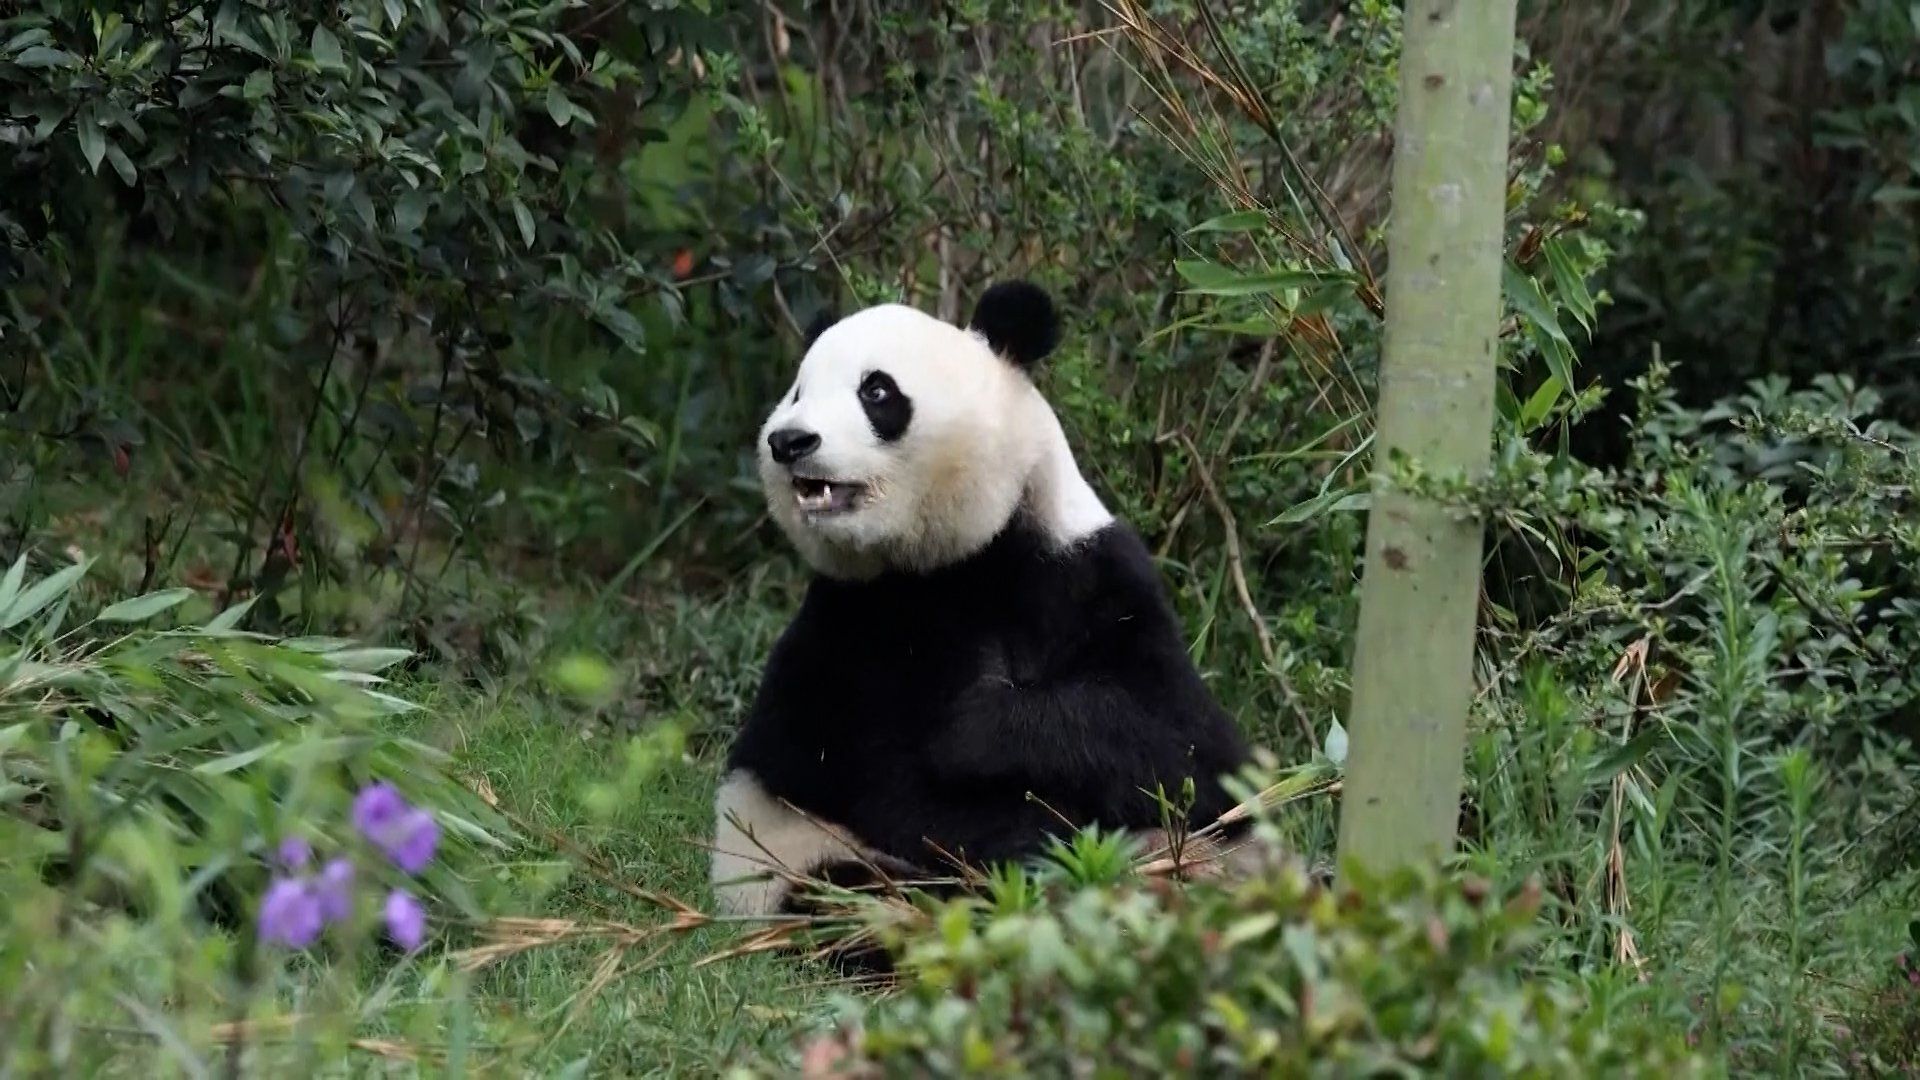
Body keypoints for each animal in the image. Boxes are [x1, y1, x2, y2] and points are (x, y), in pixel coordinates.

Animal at [709, 281, 1255, 923]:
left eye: (876, 390)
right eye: (798, 391)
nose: (789, 440)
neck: (959, 561)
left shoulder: (1086, 576)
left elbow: (1192, 753)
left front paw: (979, 729)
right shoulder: (853, 627)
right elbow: (889, 788)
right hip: (792, 857)